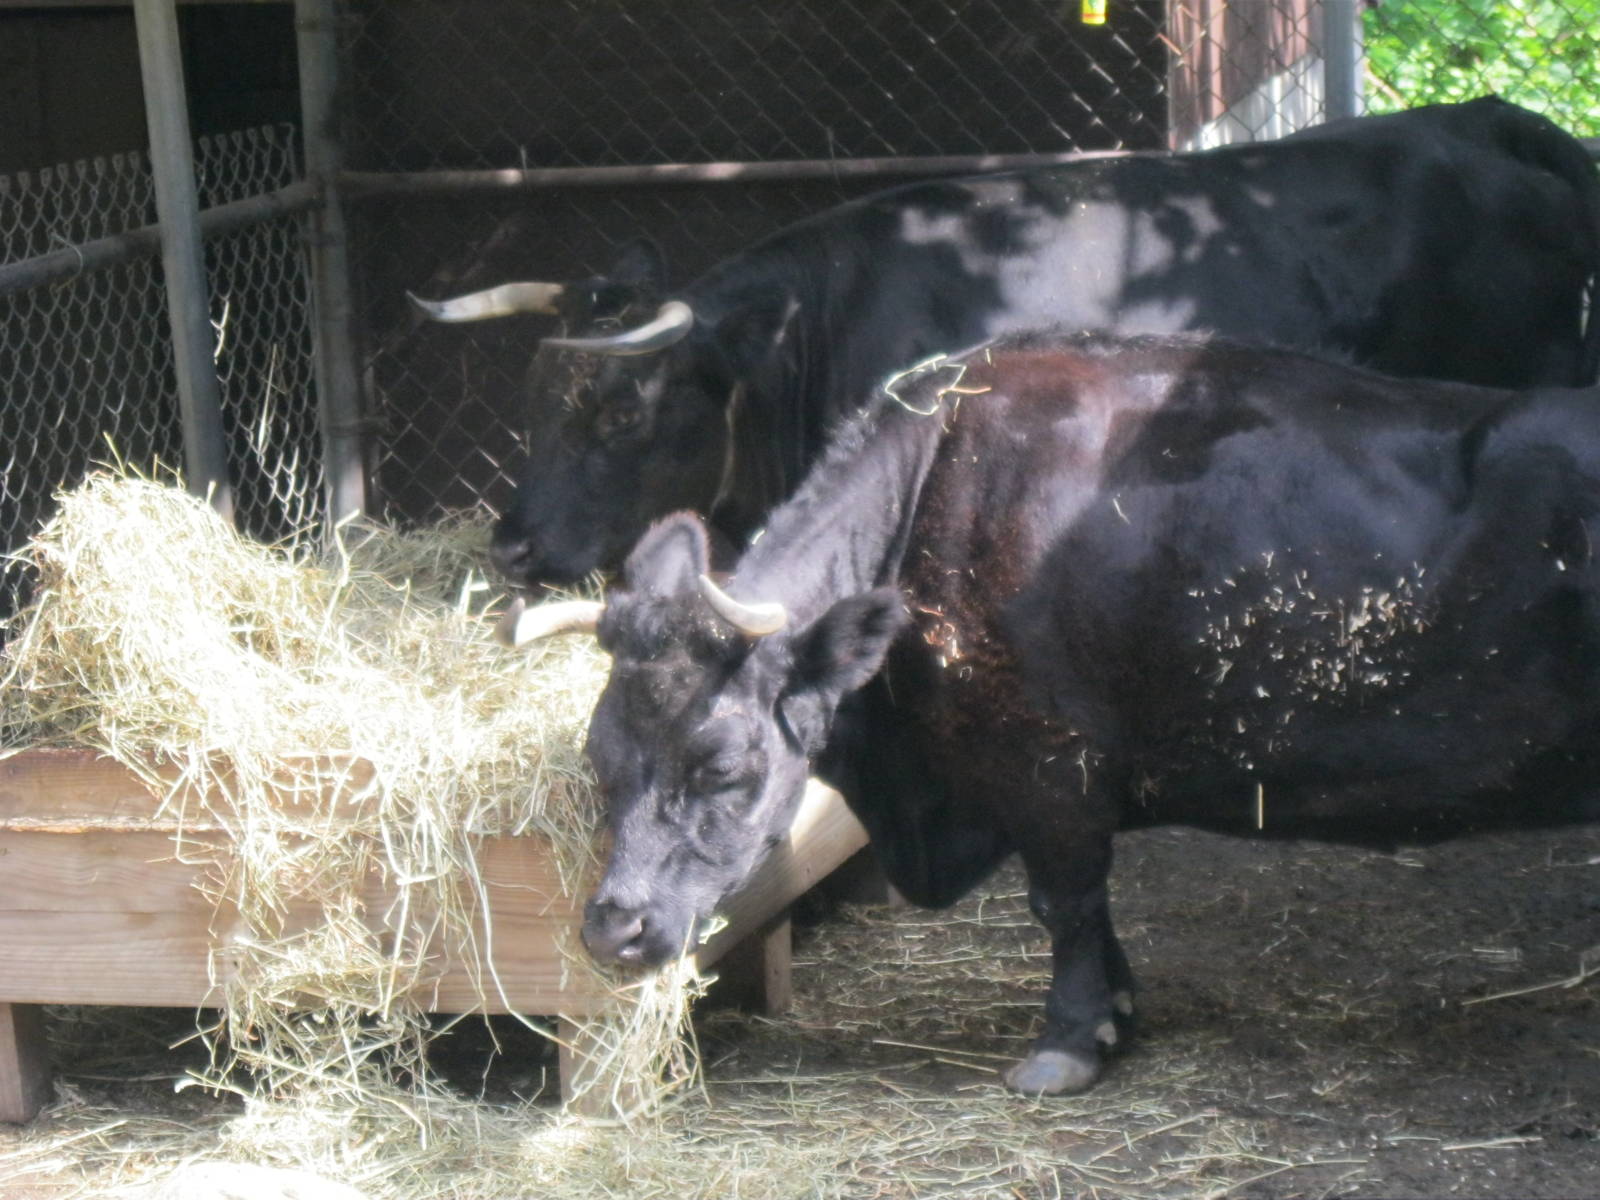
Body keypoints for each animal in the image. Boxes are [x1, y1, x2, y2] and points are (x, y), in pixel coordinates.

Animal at [510, 330, 1600, 1097]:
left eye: (722, 764)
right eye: (600, 758)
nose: (612, 929)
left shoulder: (1051, 772)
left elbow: (1065, 904)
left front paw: (1067, 1044)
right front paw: (1118, 1013)